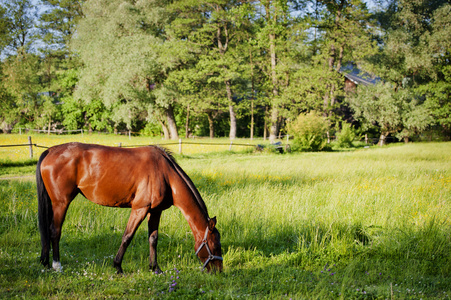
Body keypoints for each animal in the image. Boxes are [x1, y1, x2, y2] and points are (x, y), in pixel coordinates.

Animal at [36, 143, 223, 274]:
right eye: (215, 245)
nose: (219, 271)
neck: (165, 174)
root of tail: (50, 151)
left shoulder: (155, 211)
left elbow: (153, 238)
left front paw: (155, 268)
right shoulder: (140, 209)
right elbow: (127, 236)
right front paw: (118, 266)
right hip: (61, 203)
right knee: (55, 231)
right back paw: (57, 265)